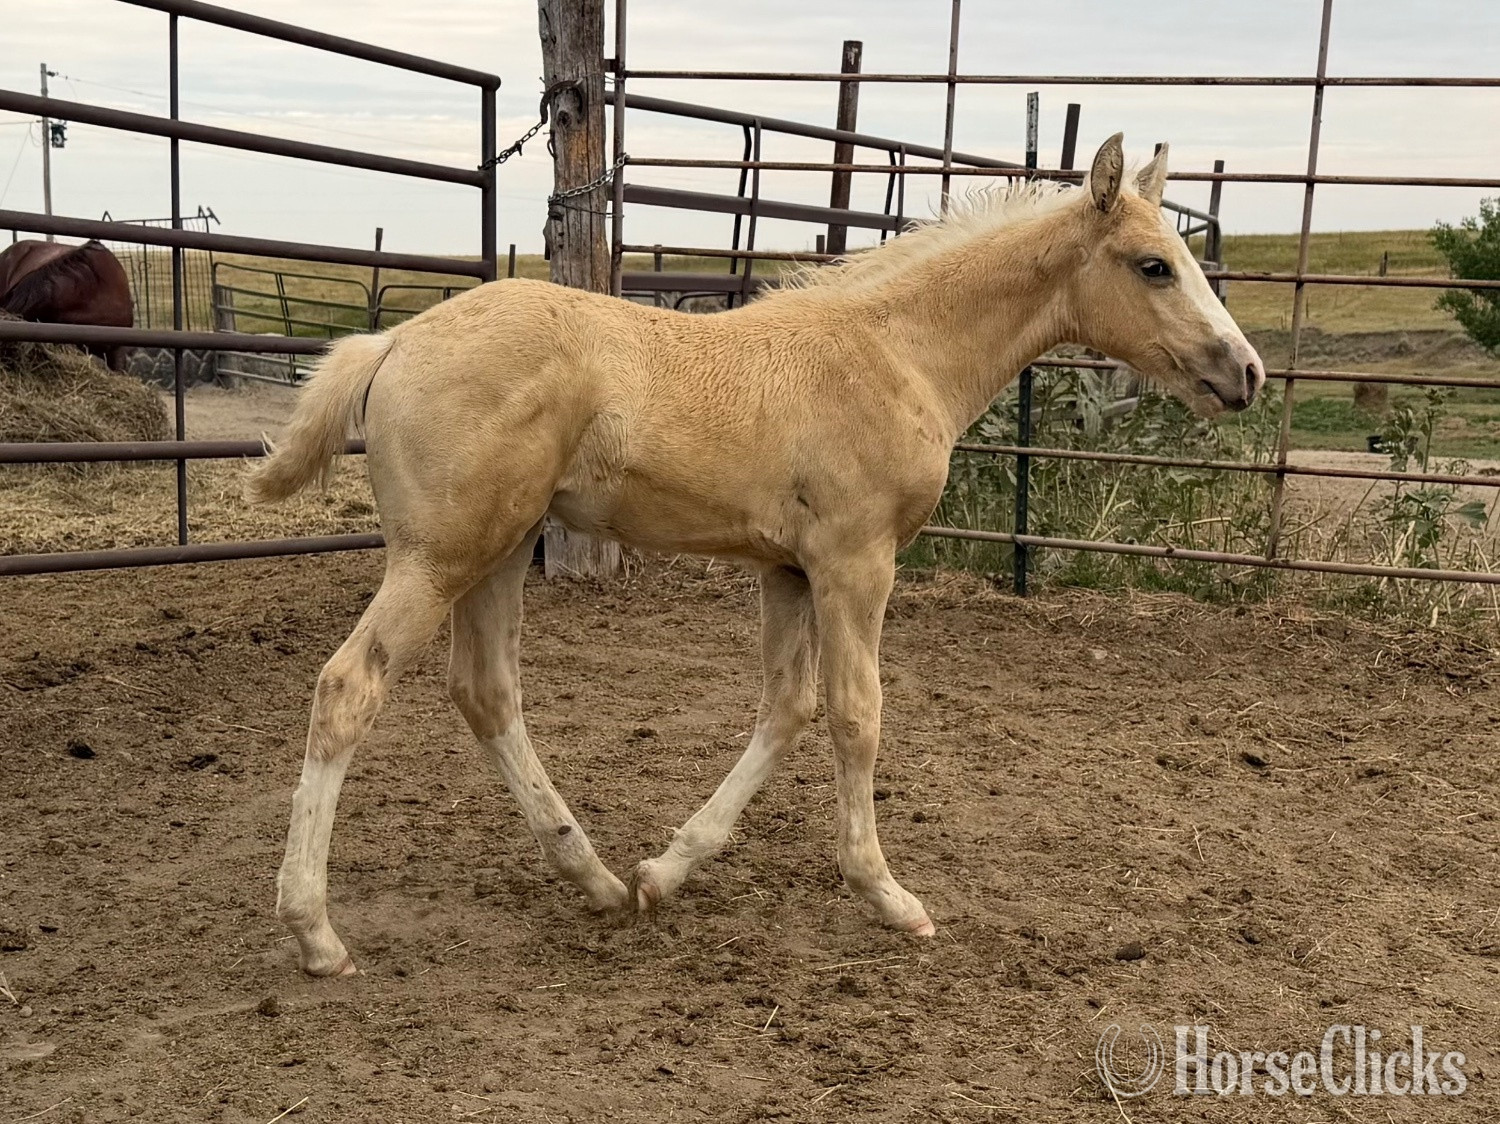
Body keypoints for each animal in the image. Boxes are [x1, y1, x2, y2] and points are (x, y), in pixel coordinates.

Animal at [247, 135, 1264, 977]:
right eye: (1154, 266)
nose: (1246, 372)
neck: (895, 354)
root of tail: (394, 339)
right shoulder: (857, 563)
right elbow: (857, 714)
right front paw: (887, 896)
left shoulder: (788, 570)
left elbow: (789, 707)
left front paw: (666, 870)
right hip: (440, 557)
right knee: (348, 688)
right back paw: (315, 934)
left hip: (496, 552)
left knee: (486, 693)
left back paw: (599, 880)